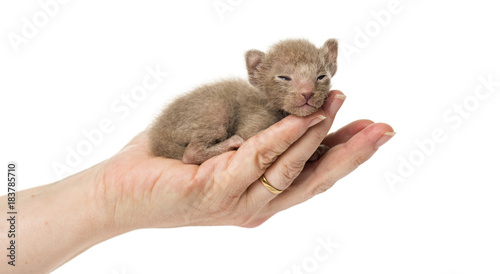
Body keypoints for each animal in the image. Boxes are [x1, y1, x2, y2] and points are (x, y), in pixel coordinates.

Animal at [147, 38, 336, 165]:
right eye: (284, 77)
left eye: (321, 77)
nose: (307, 93)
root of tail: (157, 133)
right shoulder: (254, 121)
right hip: (215, 108)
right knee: (190, 153)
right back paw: (231, 143)